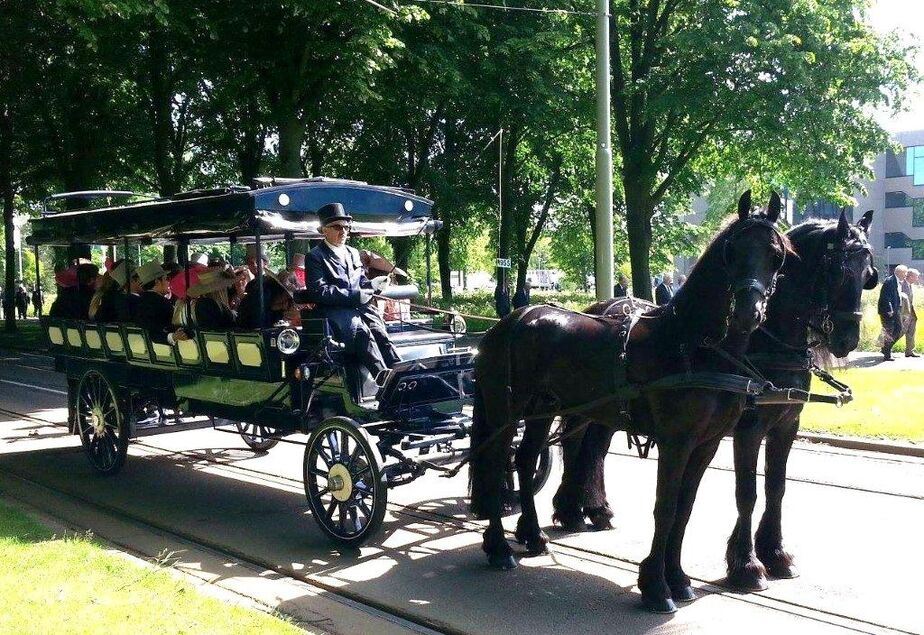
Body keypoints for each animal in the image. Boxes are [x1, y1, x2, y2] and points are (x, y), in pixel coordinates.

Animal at [470, 191, 788, 612]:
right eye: (732, 250)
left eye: (776, 255)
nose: (749, 313)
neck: (692, 345)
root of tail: (510, 320)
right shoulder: (676, 442)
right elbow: (665, 508)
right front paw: (655, 585)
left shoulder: (706, 445)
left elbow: (685, 509)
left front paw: (677, 577)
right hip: (506, 413)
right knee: (495, 463)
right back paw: (498, 547)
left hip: (543, 409)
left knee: (524, 460)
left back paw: (534, 536)